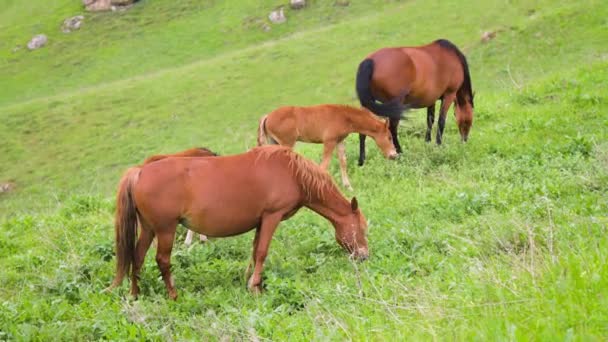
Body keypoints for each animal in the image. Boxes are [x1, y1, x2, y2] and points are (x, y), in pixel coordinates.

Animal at [107, 146, 368, 300]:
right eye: (362, 229)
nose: (364, 256)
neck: (292, 172)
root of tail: (140, 171)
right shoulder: (272, 217)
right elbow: (262, 252)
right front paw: (255, 286)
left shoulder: (260, 221)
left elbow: (254, 252)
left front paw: (249, 281)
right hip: (165, 230)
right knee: (162, 260)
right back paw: (172, 295)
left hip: (149, 229)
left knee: (136, 257)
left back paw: (135, 294)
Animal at [258, 103, 396, 191]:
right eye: (389, 137)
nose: (394, 155)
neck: (344, 116)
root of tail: (268, 116)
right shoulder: (329, 141)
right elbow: (324, 165)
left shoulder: (339, 141)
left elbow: (343, 162)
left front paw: (348, 187)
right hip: (287, 143)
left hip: (274, 143)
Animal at [356, 38, 476, 166]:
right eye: (468, 121)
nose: (464, 140)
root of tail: (370, 61)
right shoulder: (449, 94)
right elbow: (441, 121)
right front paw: (438, 145)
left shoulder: (431, 99)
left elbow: (430, 120)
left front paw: (427, 142)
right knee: (393, 129)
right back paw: (400, 153)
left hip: (368, 104)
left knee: (363, 130)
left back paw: (361, 160)